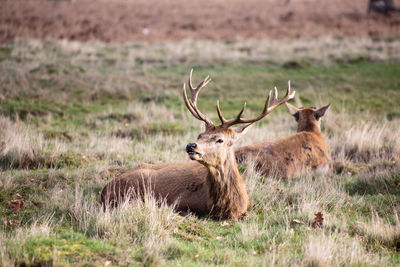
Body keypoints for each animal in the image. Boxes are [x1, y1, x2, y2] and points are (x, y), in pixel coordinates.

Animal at [100, 71, 294, 220]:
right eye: (200, 135)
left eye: (219, 139)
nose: (191, 145)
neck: (225, 207)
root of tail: (104, 190)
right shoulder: (179, 202)